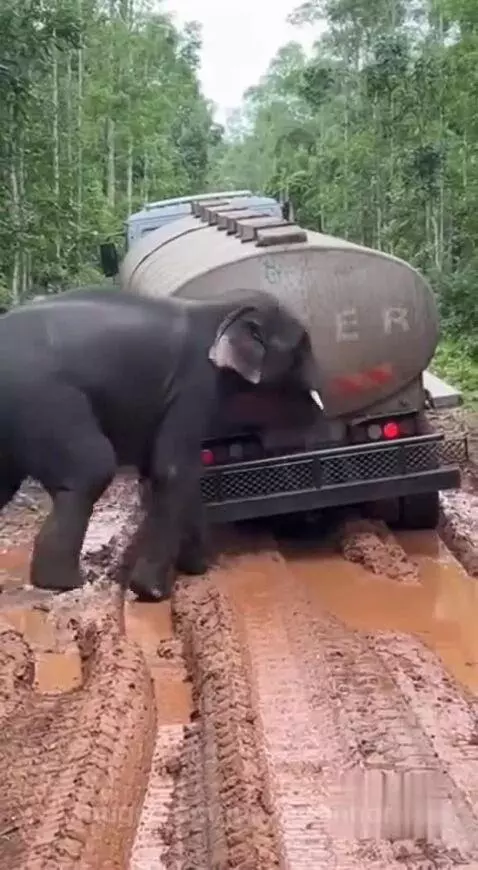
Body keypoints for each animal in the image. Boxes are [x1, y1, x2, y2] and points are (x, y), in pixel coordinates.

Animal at [0, 286, 311, 600]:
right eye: (301, 348)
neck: (221, 305)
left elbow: (170, 470)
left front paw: (197, 567)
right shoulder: (194, 384)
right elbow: (172, 469)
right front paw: (151, 591)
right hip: (43, 399)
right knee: (92, 468)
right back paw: (64, 583)